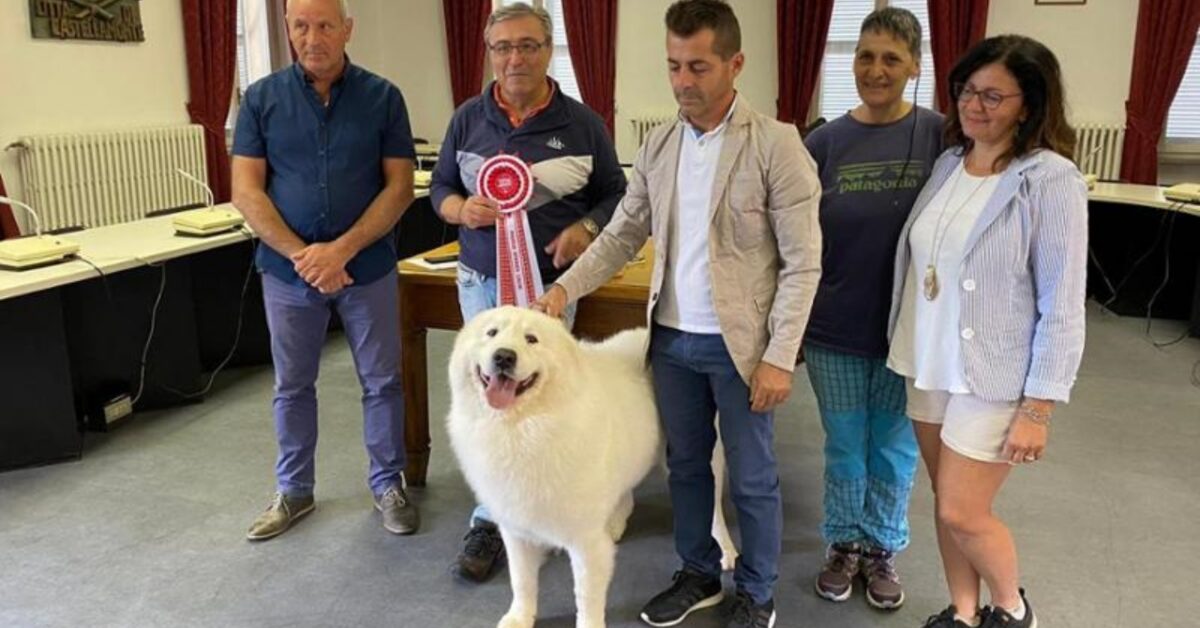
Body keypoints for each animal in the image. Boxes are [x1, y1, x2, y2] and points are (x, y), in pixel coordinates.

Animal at [448, 307, 734, 628]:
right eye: (492, 333)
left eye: (531, 339)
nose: (504, 357)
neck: (523, 428)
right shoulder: (517, 530)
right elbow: (521, 580)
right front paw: (519, 617)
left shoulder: (584, 542)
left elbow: (586, 595)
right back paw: (615, 525)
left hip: (700, 455)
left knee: (713, 510)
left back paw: (725, 549)